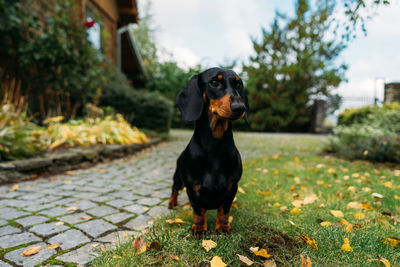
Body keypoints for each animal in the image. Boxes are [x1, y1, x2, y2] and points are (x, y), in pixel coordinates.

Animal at [167, 68, 248, 238]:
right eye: (214, 83)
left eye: (239, 84)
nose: (240, 107)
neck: (215, 146)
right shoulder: (193, 189)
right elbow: (198, 211)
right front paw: (199, 229)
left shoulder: (232, 187)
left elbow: (224, 210)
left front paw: (222, 227)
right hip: (178, 177)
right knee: (174, 189)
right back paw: (172, 203)